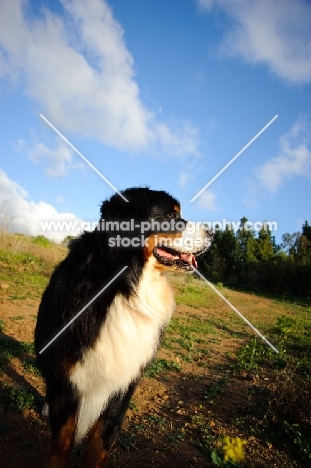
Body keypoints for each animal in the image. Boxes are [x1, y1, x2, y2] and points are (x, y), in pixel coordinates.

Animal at [34, 187, 214, 468]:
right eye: (171, 216)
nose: (213, 233)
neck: (123, 287)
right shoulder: (67, 374)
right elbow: (62, 443)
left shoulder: (123, 382)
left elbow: (99, 445)